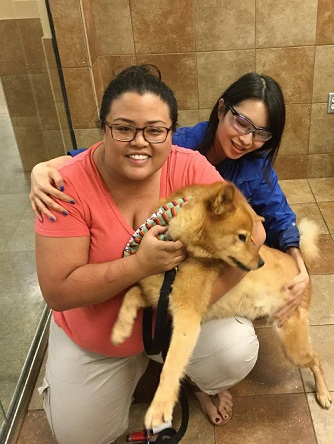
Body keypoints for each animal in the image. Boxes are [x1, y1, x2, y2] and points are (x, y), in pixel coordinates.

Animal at [111, 182, 332, 428]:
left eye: (252, 237)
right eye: (243, 237)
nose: (260, 263)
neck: (182, 251)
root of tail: (300, 266)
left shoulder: (186, 315)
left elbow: (171, 366)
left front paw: (160, 407)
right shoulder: (154, 294)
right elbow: (130, 294)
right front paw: (120, 330)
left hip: (294, 347)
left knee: (317, 360)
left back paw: (323, 394)